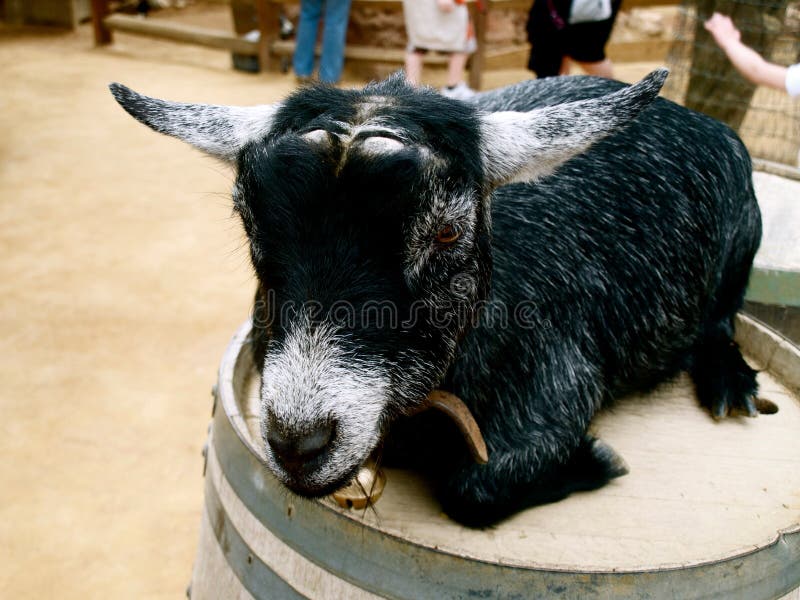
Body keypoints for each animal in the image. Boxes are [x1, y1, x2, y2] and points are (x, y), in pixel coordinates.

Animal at [108, 70, 764, 528]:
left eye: (447, 232)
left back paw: (729, 380)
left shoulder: (558, 386)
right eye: (250, 224)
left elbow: (472, 489)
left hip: (744, 243)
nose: (300, 444)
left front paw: (594, 460)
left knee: (723, 319)